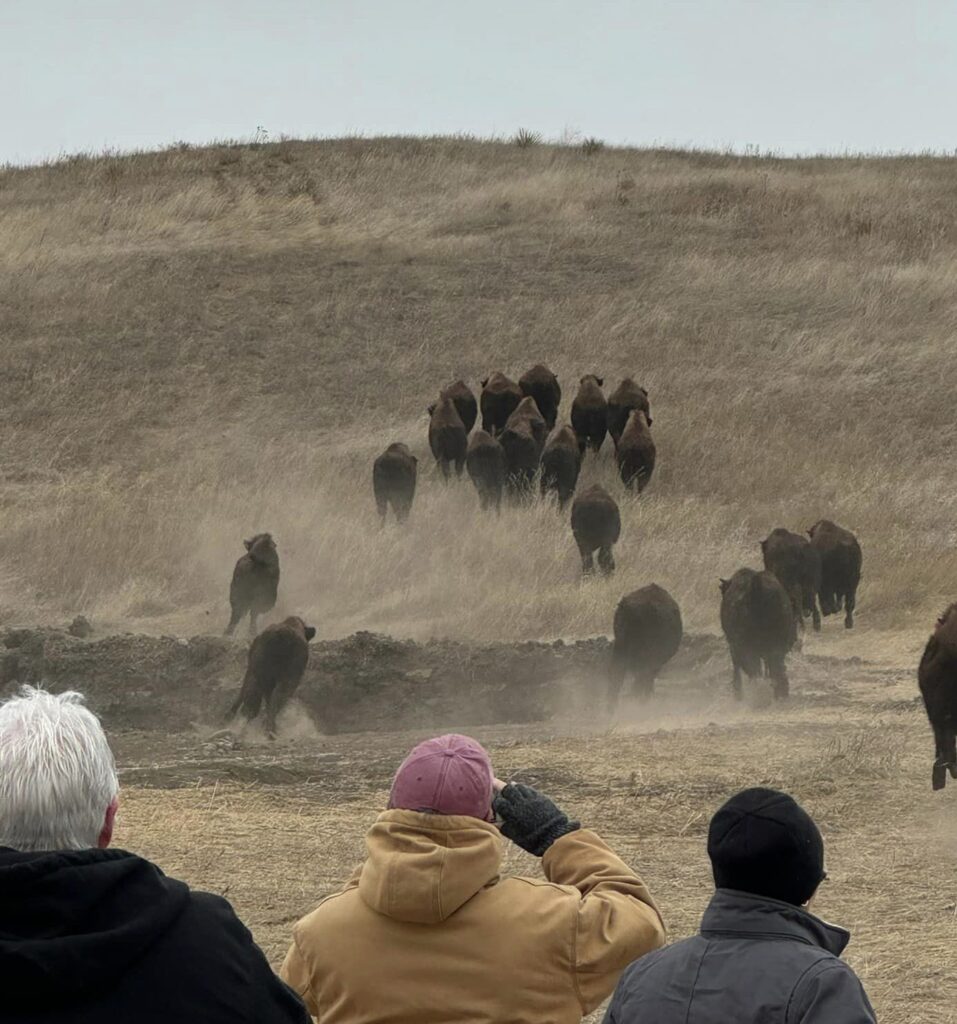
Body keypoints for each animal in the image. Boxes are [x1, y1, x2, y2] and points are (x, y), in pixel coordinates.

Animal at [720, 569, 798, 704]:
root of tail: (755, 586)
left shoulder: (734, 646)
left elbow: (738, 668)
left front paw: (738, 694)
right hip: (776, 645)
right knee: (777, 668)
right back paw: (780, 693)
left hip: (746, 646)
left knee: (754, 668)